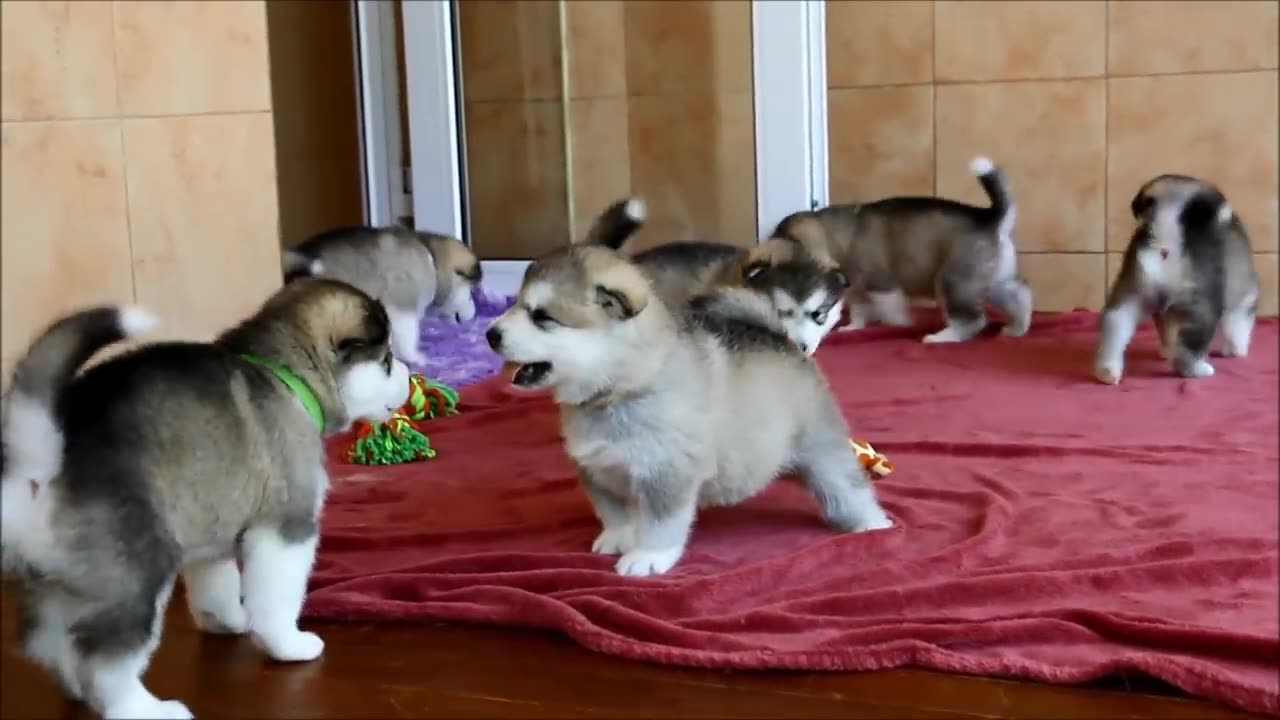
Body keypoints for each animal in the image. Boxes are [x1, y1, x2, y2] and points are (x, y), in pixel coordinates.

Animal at [0, 278, 409, 712]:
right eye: (386, 360)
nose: (408, 370)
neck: (288, 375)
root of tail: (38, 465)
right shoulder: (286, 527)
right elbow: (277, 599)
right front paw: (288, 644)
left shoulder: (213, 528)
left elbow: (219, 587)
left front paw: (228, 621)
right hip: (132, 575)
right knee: (105, 662)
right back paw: (149, 710)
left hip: (59, 582)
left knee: (51, 643)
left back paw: (77, 690)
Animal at [282, 225, 481, 363]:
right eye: (471, 292)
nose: (473, 315)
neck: (432, 258)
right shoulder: (402, 307)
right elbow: (408, 335)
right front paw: (415, 358)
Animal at [768, 156, 1029, 345]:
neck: (840, 236)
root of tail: (991, 218)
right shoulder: (859, 290)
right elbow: (860, 312)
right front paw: (852, 328)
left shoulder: (880, 282)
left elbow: (890, 308)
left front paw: (899, 324)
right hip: (994, 281)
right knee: (1021, 295)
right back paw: (1017, 328)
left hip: (954, 281)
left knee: (973, 320)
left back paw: (941, 338)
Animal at [1090, 174, 1259, 384]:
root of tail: (1167, 236)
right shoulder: (1242, 303)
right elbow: (1238, 328)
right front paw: (1235, 351)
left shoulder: (1165, 312)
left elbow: (1170, 336)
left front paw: (1166, 352)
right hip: (1201, 307)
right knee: (1189, 350)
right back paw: (1198, 369)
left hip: (1129, 294)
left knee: (1114, 328)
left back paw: (1107, 371)